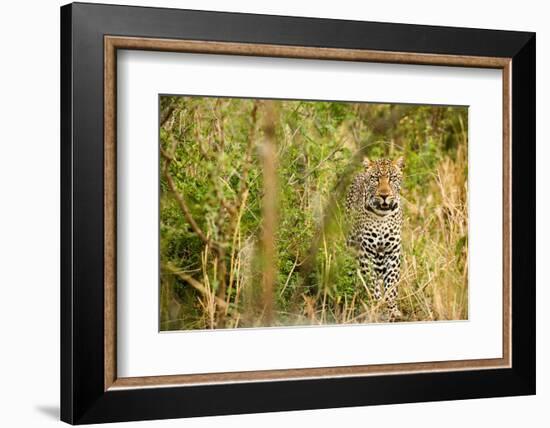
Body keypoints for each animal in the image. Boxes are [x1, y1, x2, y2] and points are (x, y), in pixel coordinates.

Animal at [348, 155, 408, 320]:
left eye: (392, 178)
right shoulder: (365, 252)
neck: (382, 216)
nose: (384, 195)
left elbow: (391, 285)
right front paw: (376, 307)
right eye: (375, 179)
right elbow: (372, 284)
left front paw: (392, 310)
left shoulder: (392, 252)